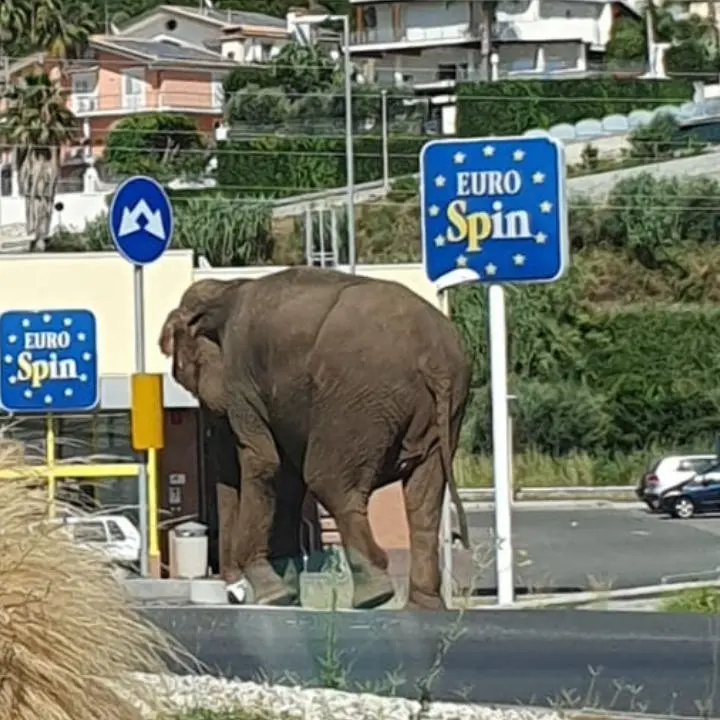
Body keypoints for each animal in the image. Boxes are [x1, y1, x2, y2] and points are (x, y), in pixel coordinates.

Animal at [159, 268, 472, 612]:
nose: (233, 593)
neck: (226, 288)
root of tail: (434, 356)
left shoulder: (242, 383)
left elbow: (264, 463)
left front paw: (273, 596)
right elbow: (285, 478)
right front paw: (285, 597)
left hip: (357, 401)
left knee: (330, 481)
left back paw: (374, 596)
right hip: (443, 409)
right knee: (423, 497)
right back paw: (422, 607)